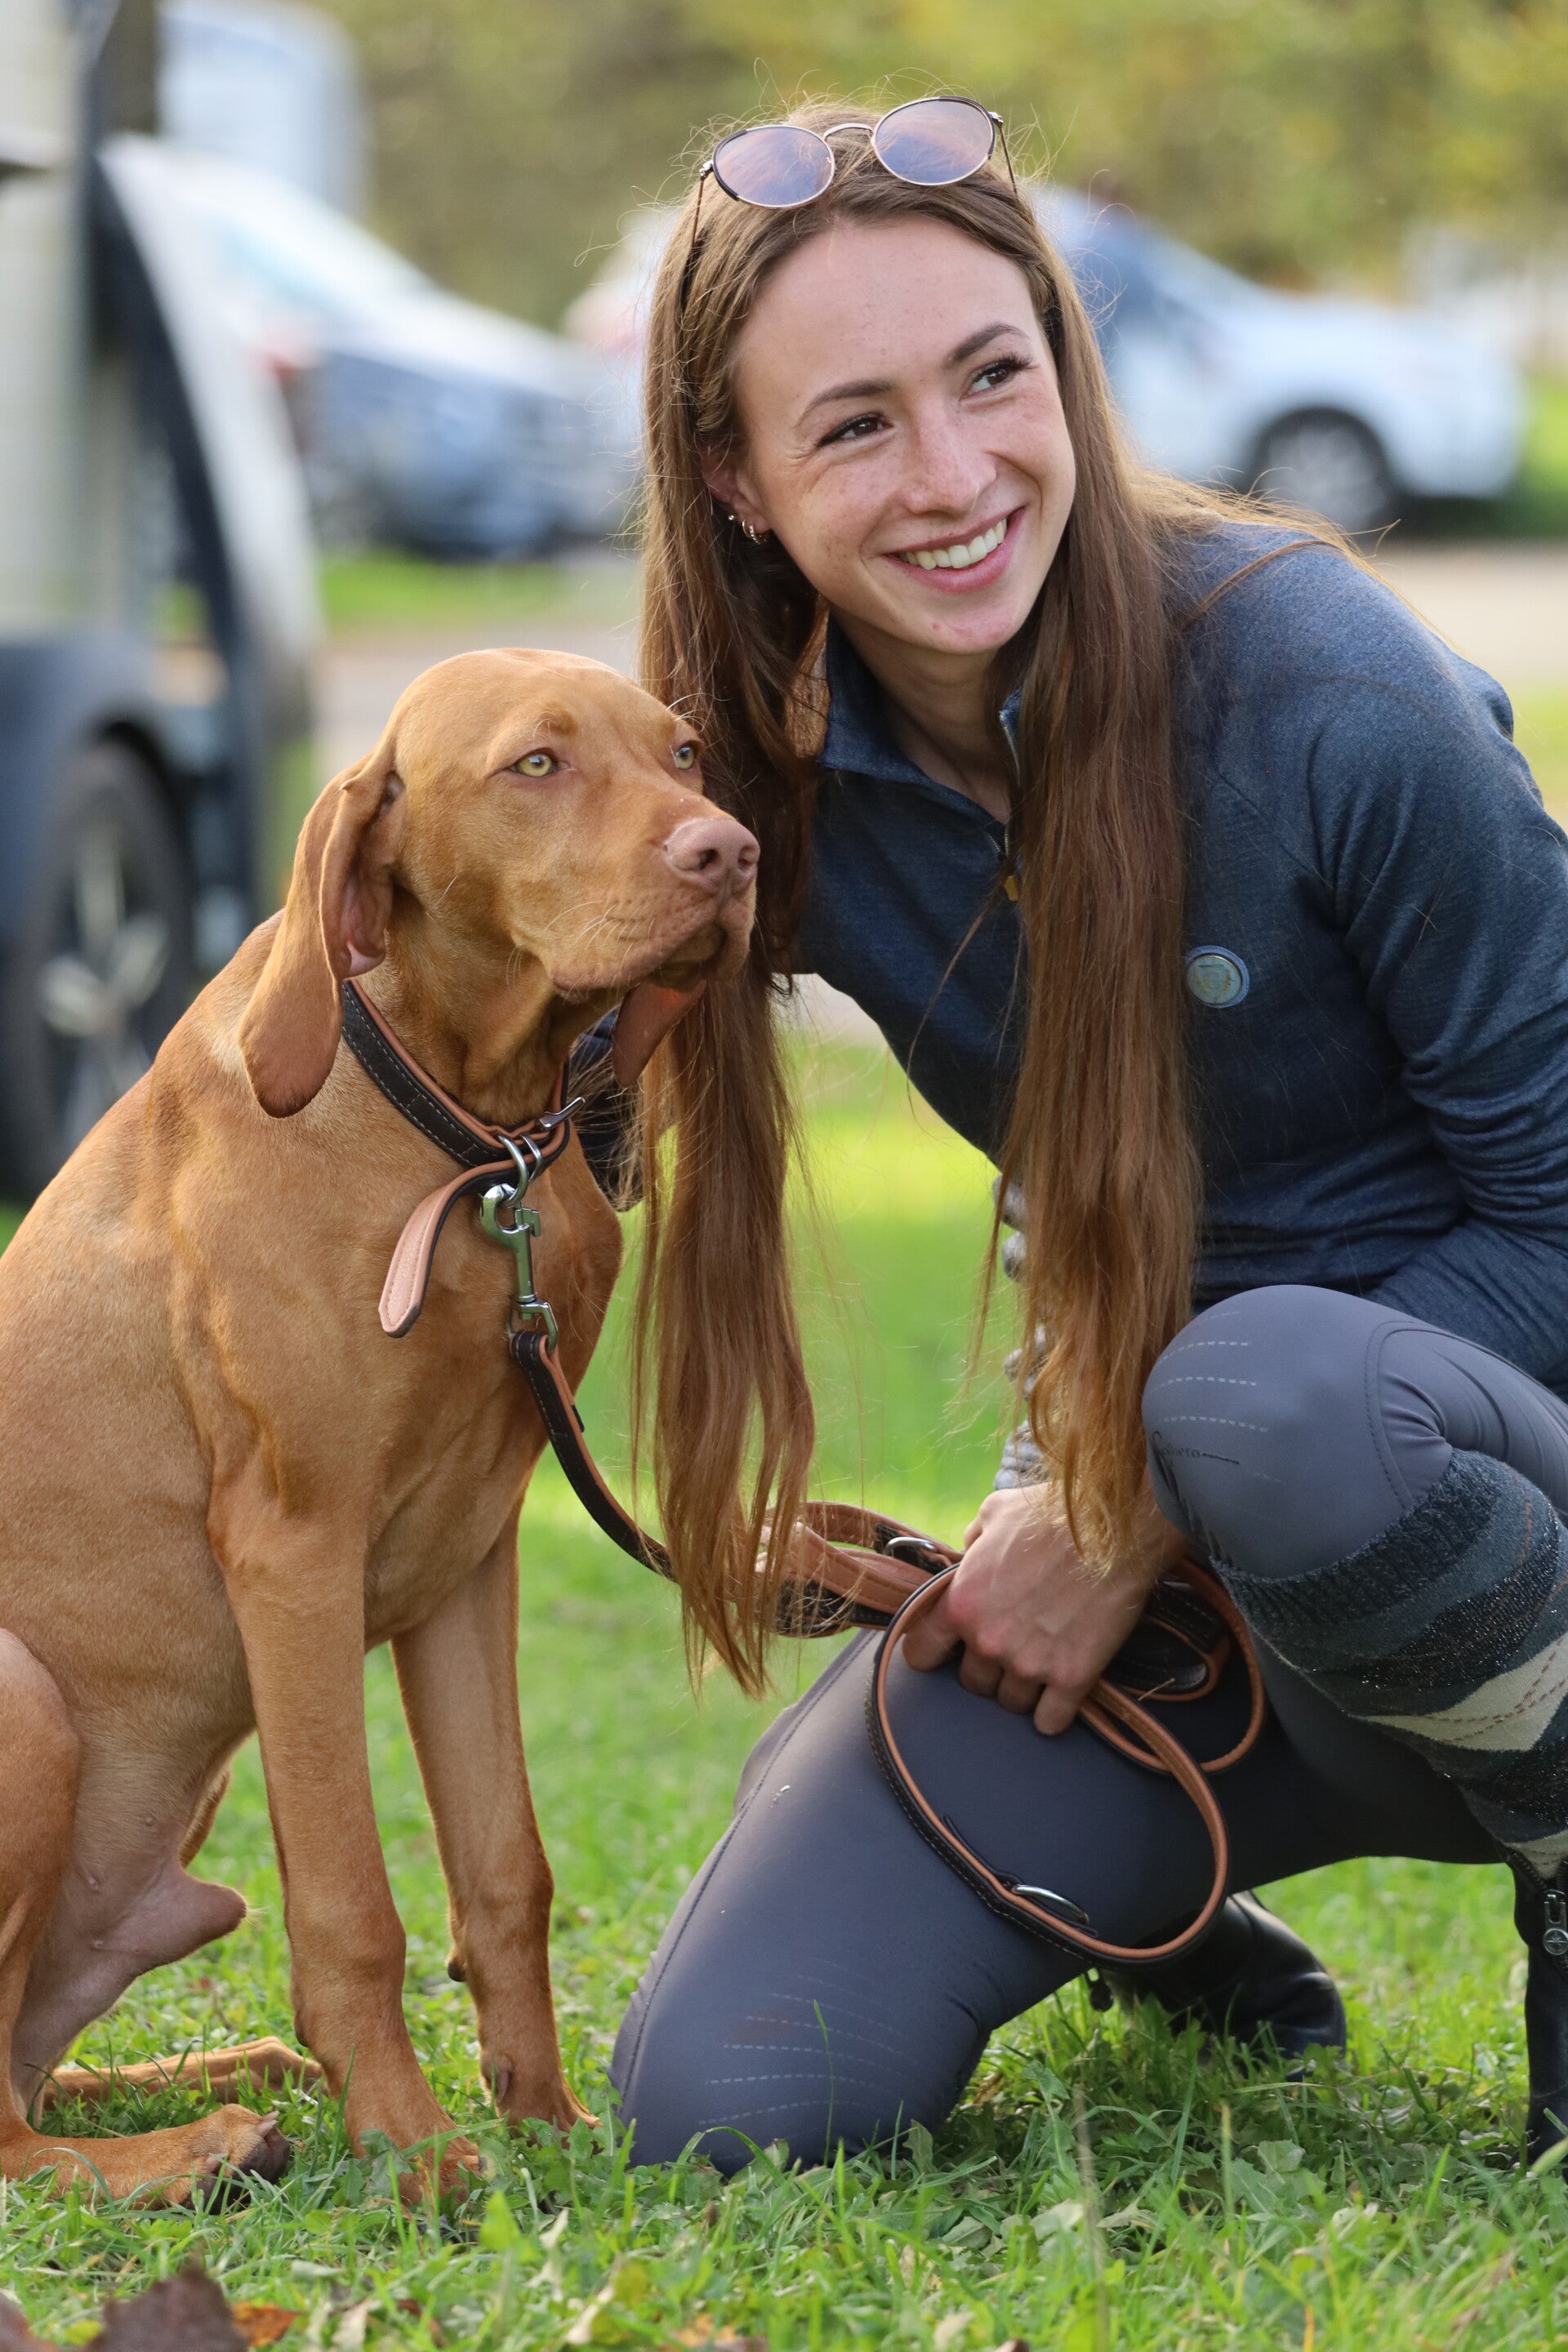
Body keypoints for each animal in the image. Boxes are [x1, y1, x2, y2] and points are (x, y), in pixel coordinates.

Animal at [0, 649, 757, 2201]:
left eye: (684, 753)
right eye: (538, 765)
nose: (734, 856)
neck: (464, 1136)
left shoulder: (470, 1557)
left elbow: (506, 1868)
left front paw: (545, 2124)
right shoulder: (296, 1551)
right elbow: (353, 1903)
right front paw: (417, 2156)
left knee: (27, 2080)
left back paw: (221, 2085)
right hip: (23, 1699)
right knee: (0, 2128)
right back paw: (196, 2146)